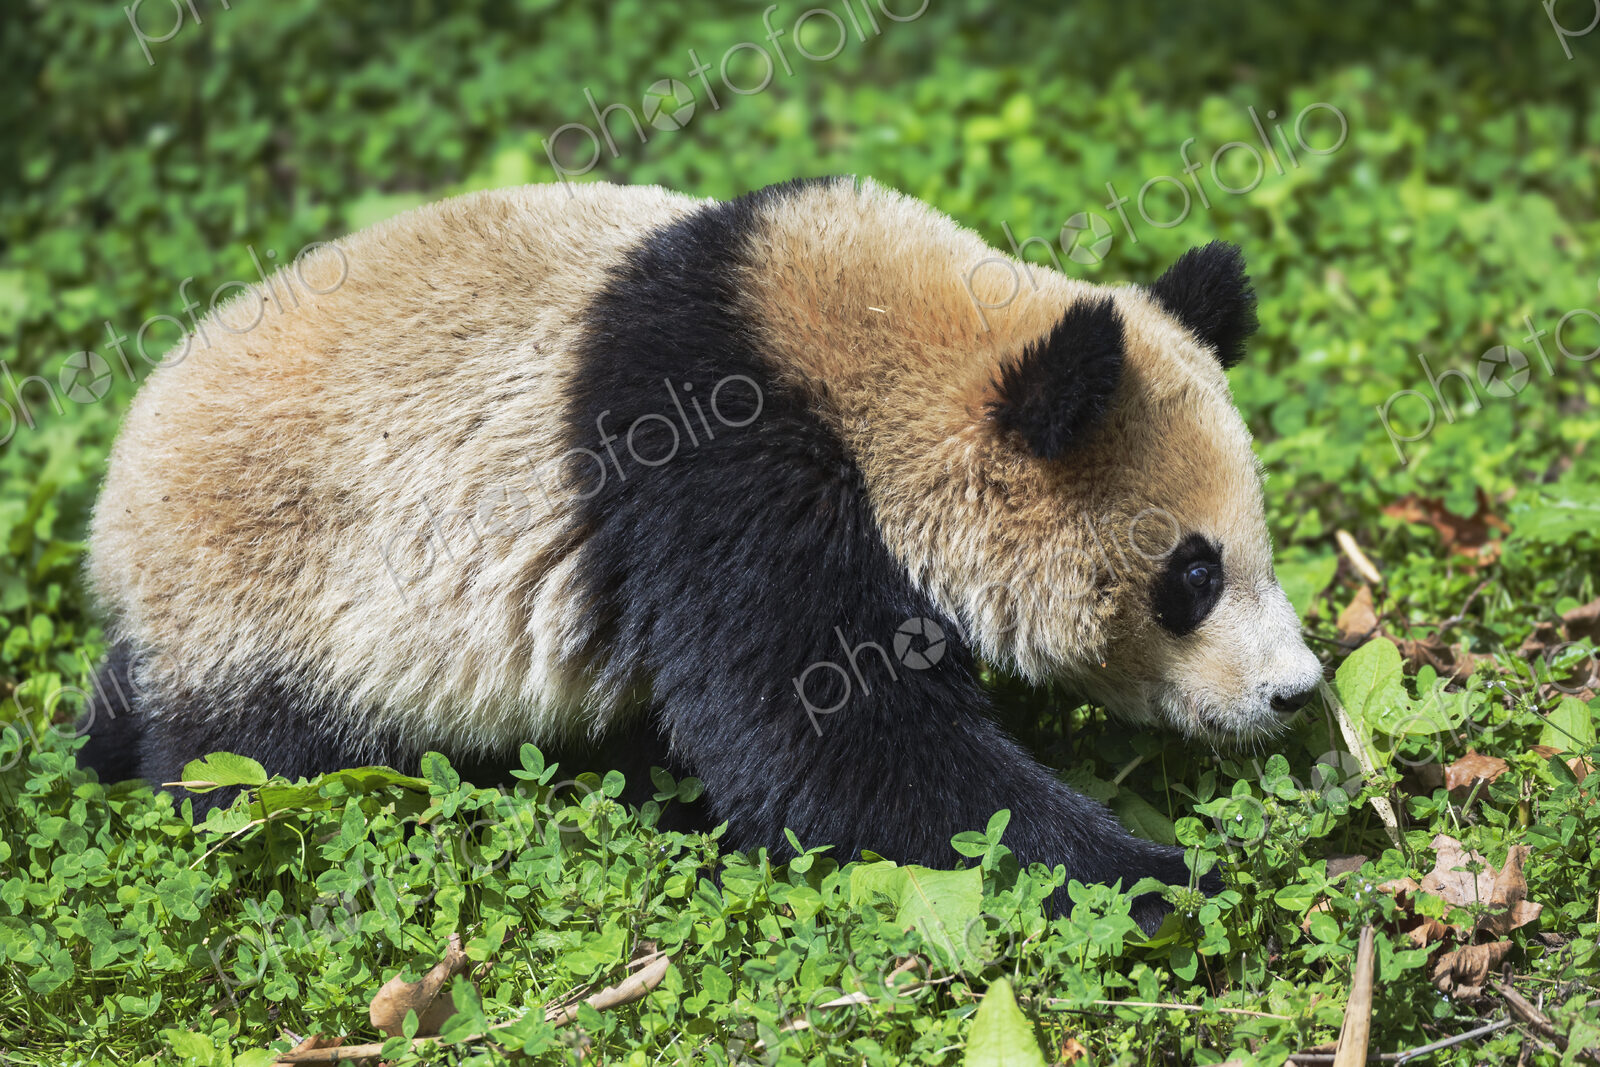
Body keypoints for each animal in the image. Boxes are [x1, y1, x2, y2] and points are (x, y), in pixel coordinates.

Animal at [78, 176, 1321, 932]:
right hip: (274, 597)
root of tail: (113, 520)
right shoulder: (717, 468)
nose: (1296, 691)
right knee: (252, 761)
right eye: (1193, 576)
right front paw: (1171, 877)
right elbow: (829, 744)